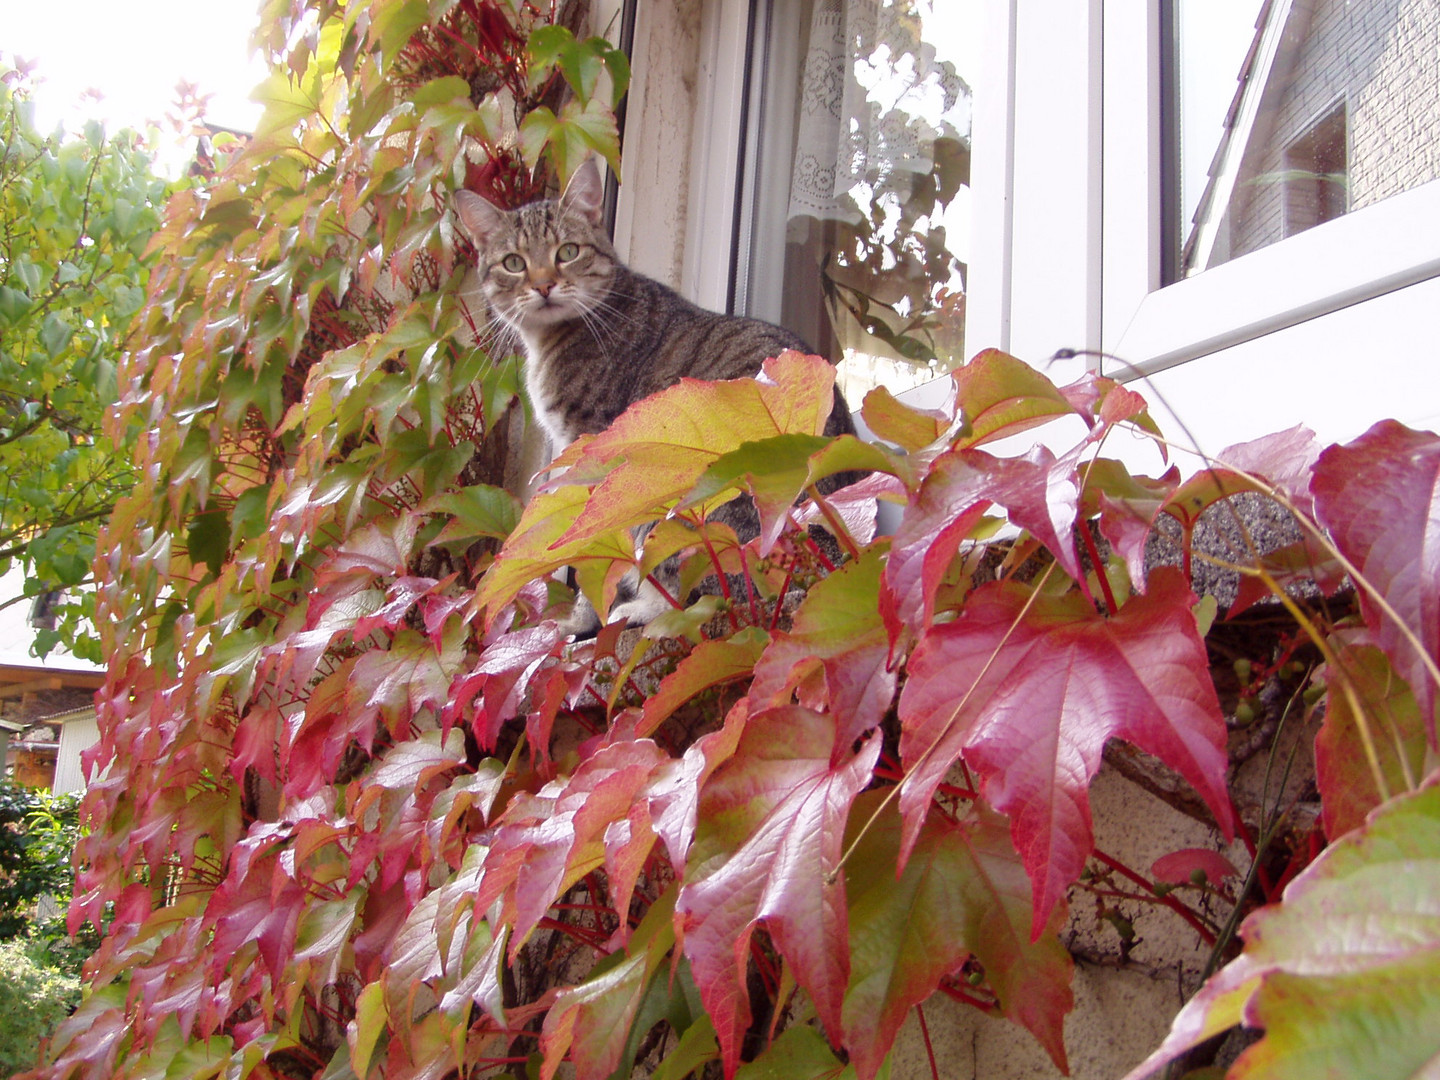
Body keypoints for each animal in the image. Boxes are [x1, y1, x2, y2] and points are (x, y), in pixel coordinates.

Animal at [452, 155, 852, 624]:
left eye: (567, 252)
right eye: (514, 262)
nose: (544, 284)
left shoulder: (590, 451)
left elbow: (594, 553)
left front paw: (583, 618)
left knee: (703, 596)